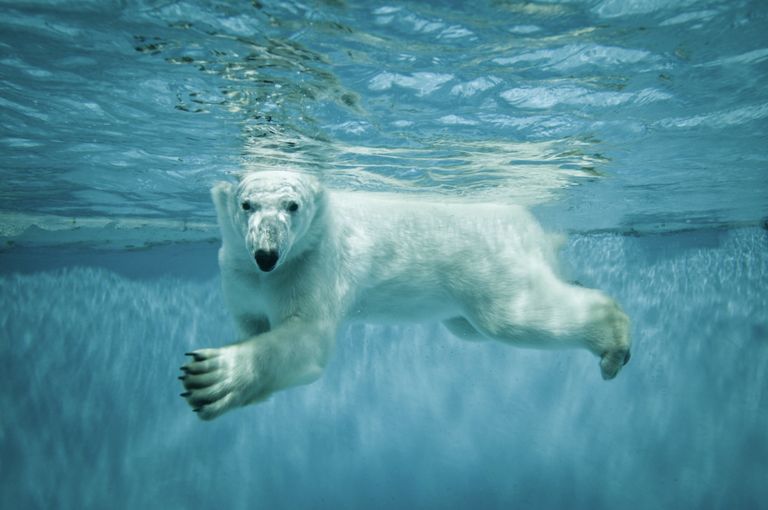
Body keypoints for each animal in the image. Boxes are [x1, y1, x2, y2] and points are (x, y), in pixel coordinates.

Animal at [180, 170, 631, 421]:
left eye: (292, 205)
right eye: (246, 204)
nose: (267, 255)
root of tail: (531, 226)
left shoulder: (313, 264)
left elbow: (306, 338)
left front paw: (211, 376)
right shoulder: (238, 274)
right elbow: (252, 322)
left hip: (487, 264)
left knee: (511, 318)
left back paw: (613, 340)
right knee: (471, 326)